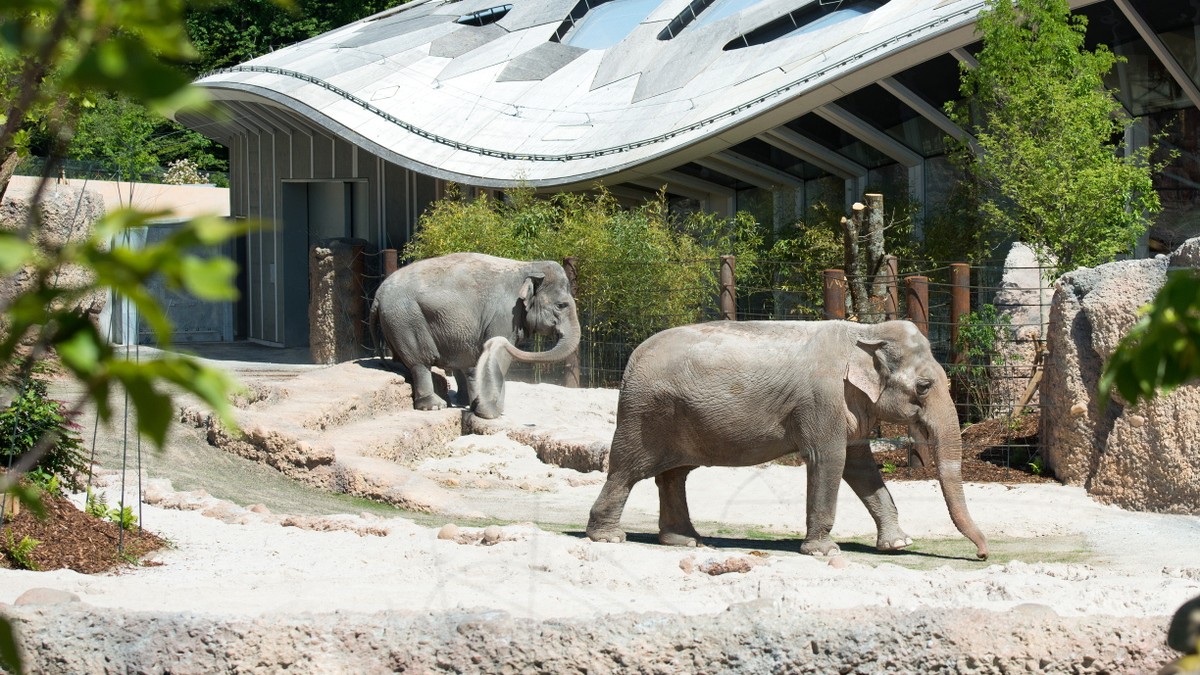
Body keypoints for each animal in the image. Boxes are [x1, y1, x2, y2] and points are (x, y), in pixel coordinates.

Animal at [369, 252, 580, 415]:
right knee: (419, 362)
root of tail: (378, 294)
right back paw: (435, 406)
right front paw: (490, 412)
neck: (529, 266)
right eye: (561, 305)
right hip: (406, 320)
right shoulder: (504, 316)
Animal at [586, 319, 989, 560]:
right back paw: (608, 538)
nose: (981, 555)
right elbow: (830, 460)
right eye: (924, 386)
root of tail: (631, 359)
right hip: (645, 414)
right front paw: (824, 552)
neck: (866, 330)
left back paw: (686, 541)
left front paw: (899, 544)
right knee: (627, 470)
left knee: (674, 475)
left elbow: (861, 468)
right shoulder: (822, 400)